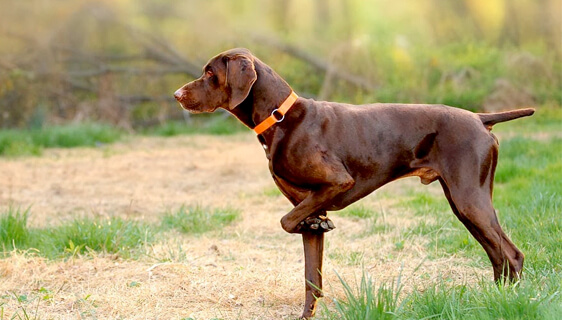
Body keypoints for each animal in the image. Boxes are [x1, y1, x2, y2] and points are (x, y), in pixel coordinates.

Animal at [173, 47, 532, 318]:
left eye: (210, 74)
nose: (176, 94)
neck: (281, 118)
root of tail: (480, 118)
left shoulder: (336, 182)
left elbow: (286, 221)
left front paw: (315, 223)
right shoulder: (310, 210)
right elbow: (311, 277)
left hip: (469, 199)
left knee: (511, 255)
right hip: (465, 204)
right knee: (498, 256)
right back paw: (496, 300)